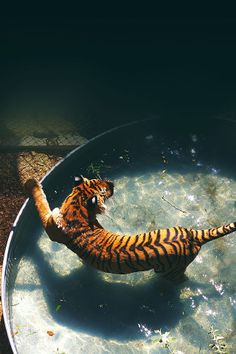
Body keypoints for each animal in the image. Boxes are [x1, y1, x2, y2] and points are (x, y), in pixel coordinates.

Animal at [24, 176, 235, 280]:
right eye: (102, 185)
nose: (112, 183)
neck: (78, 203)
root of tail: (193, 235)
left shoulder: (51, 228)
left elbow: (41, 204)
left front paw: (31, 183)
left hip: (169, 269)